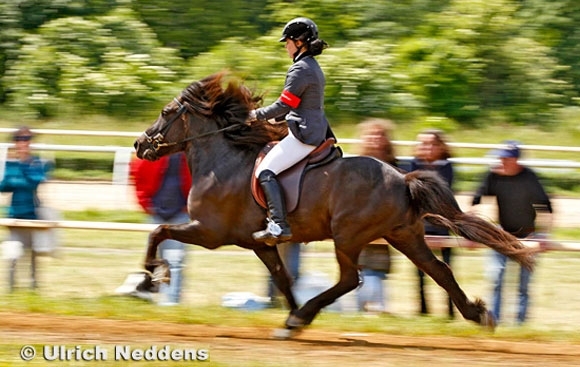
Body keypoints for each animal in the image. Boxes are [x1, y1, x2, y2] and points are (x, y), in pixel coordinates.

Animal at [134, 72, 532, 336]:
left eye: (166, 112)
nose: (140, 145)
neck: (224, 160)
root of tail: (402, 179)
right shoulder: (257, 242)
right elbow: (282, 278)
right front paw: (291, 319)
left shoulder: (210, 232)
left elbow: (159, 231)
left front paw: (151, 279)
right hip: (403, 235)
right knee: (439, 271)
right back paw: (478, 314)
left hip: (349, 236)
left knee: (351, 279)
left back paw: (305, 315)